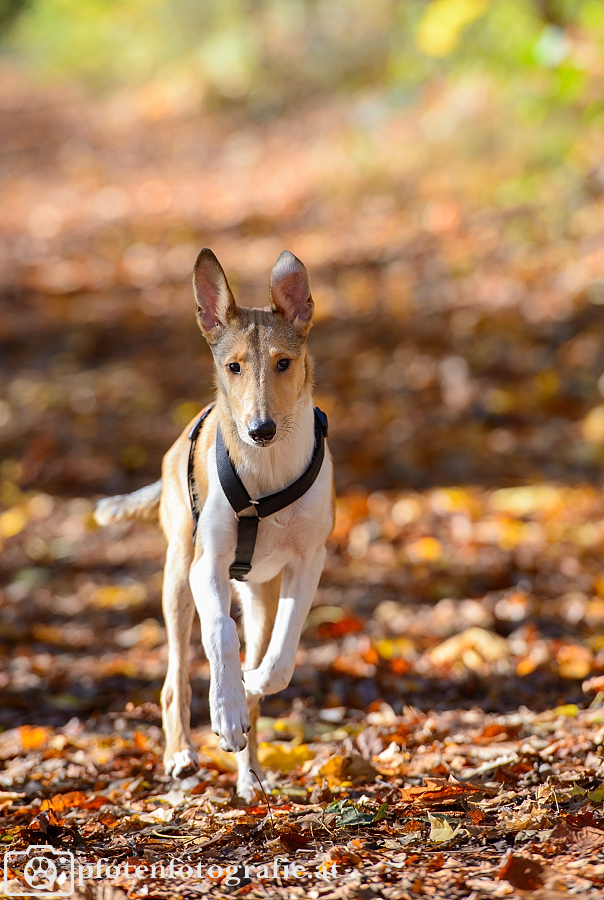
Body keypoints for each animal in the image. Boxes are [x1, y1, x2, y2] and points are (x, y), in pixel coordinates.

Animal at [96, 250, 338, 800]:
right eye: (234, 367)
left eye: (284, 363)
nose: (260, 429)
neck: (266, 474)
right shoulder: (207, 566)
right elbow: (220, 635)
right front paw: (224, 714)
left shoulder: (308, 562)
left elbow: (283, 651)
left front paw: (255, 682)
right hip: (177, 578)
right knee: (174, 679)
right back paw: (182, 754)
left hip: (258, 593)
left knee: (259, 653)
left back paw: (250, 778)